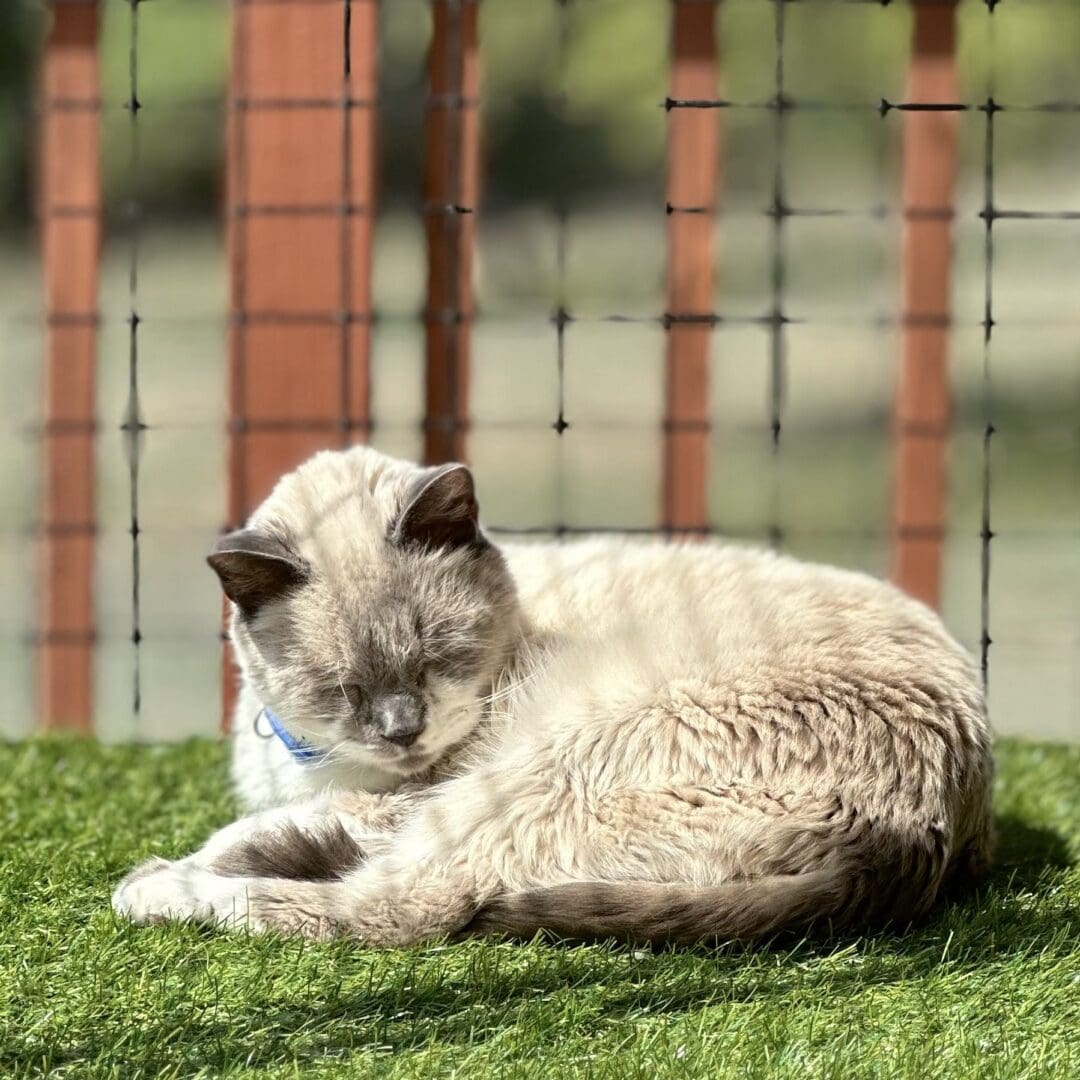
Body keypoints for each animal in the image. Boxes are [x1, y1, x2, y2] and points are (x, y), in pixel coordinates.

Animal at [111, 442, 993, 941]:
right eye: (342, 686)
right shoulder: (382, 794)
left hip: (534, 769)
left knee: (403, 908)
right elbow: (290, 822)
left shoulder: (418, 790)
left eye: (437, 656)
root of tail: (909, 841)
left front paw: (188, 861)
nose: (402, 729)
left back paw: (156, 890)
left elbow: (298, 830)